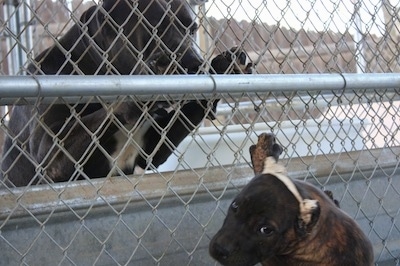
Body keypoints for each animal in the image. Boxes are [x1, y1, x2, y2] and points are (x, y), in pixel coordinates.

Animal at [0, 0, 250, 187]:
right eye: (156, 28)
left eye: (192, 29)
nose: (194, 63)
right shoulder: (49, 156)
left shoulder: (151, 149)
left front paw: (224, 66)